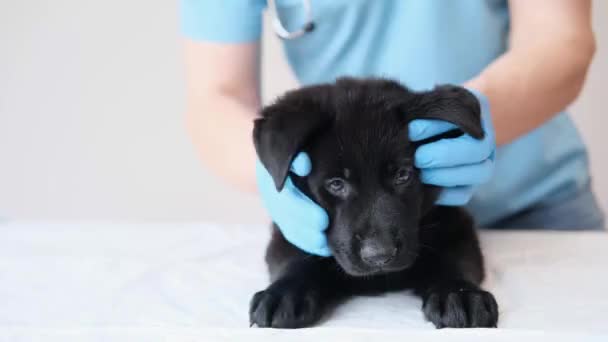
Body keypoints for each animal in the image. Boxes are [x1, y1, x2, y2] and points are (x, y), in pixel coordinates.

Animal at [249, 77, 496, 328]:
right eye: (336, 184)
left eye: (402, 175)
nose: (379, 256)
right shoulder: (290, 229)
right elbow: (294, 256)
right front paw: (285, 293)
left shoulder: (453, 221)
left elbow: (456, 257)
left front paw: (459, 294)